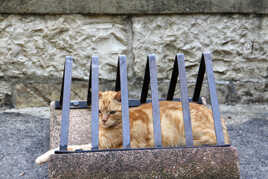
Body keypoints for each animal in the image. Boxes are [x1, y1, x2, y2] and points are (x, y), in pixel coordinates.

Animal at [34, 91, 229, 164]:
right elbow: (70, 146)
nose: (103, 120)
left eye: (112, 112)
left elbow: (74, 148)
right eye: (99, 111)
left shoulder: (109, 146)